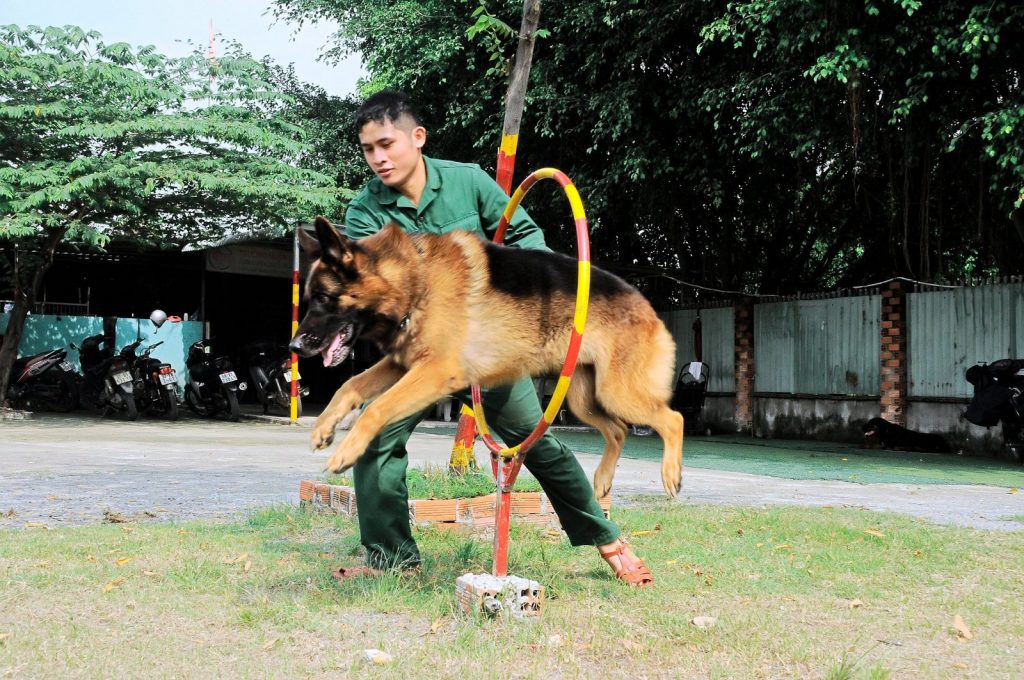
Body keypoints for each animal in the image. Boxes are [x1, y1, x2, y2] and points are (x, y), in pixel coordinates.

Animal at [288, 218, 684, 499]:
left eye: (323, 298)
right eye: (310, 298)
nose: (294, 347)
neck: (416, 280)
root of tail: (647, 306)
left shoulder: (434, 372)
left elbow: (376, 409)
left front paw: (346, 451)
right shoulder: (402, 364)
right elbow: (350, 385)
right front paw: (323, 427)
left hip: (618, 393)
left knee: (672, 418)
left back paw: (671, 474)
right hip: (584, 399)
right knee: (618, 430)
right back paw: (602, 479)